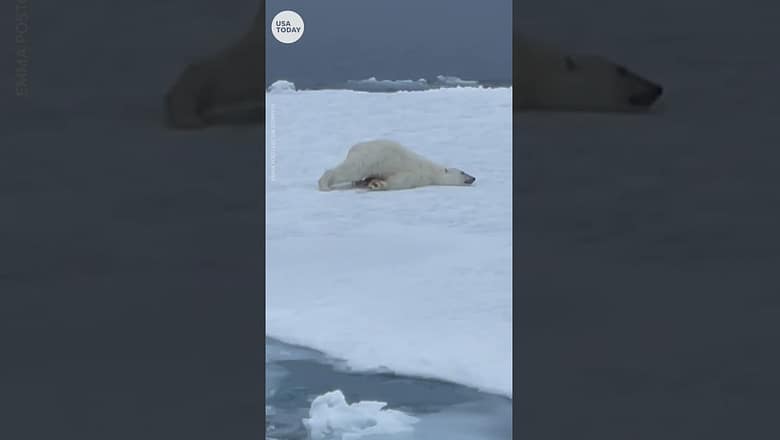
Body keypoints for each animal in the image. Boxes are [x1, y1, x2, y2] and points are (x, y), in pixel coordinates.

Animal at [318, 140, 476, 192]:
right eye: (463, 172)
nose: (473, 178)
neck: (432, 171)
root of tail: (354, 147)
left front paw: (370, 182)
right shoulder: (417, 173)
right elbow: (399, 181)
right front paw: (377, 184)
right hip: (370, 157)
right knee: (351, 169)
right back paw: (325, 184)